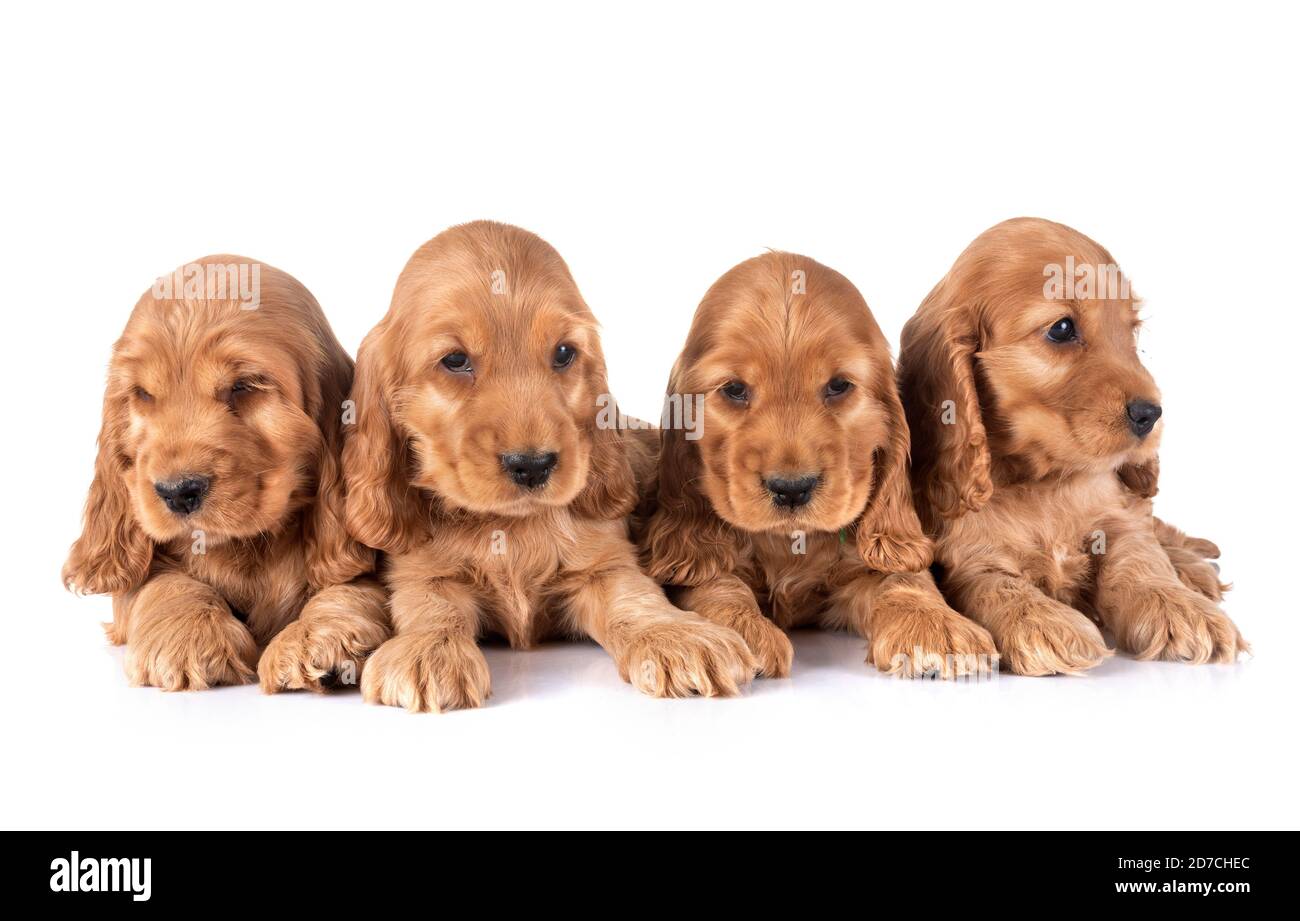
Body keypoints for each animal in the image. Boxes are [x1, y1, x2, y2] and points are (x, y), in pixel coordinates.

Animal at [62, 257, 384, 692]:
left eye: (244, 386)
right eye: (143, 394)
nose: (177, 491)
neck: (245, 548)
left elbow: (352, 586)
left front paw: (316, 637)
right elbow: (156, 583)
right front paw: (188, 636)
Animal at [340, 221, 759, 712]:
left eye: (563, 353)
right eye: (455, 360)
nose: (532, 465)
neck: (508, 527)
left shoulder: (604, 565)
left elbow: (635, 600)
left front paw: (677, 637)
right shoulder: (421, 573)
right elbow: (431, 607)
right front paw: (430, 652)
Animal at [639, 252, 993, 676]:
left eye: (839, 386)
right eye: (734, 389)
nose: (792, 489)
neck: (791, 543)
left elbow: (903, 578)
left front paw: (936, 626)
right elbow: (717, 583)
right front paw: (745, 633)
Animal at [899, 218, 1242, 671]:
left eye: (1132, 331)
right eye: (1062, 329)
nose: (1151, 413)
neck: (1045, 481)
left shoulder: (1120, 514)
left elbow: (1140, 556)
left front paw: (1179, 607)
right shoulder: (970, 552)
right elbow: (995, 584)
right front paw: (1043, 622)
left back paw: (1193, 568)